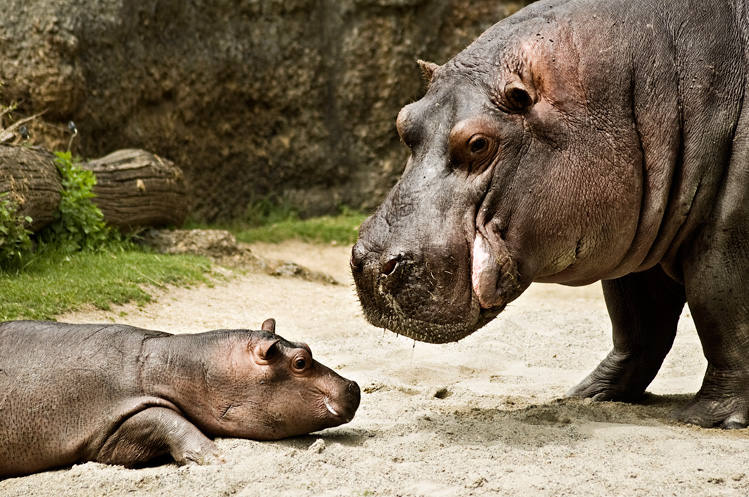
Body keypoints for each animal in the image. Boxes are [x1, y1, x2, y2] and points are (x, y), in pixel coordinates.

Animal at [0, 318, 360, 476]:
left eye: (306, 346)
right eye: (301, 362)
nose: (354, 385)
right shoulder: (115, 418)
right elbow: (167, 419)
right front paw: (217, 458)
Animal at [350, 0, 748, 426]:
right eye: (403, 121)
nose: (371, 264)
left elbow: (719, 305)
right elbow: (636, 318)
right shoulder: (637, 230)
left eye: (477, 143)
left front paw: (710, 417)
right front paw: (589, 395)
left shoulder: (724, 236)